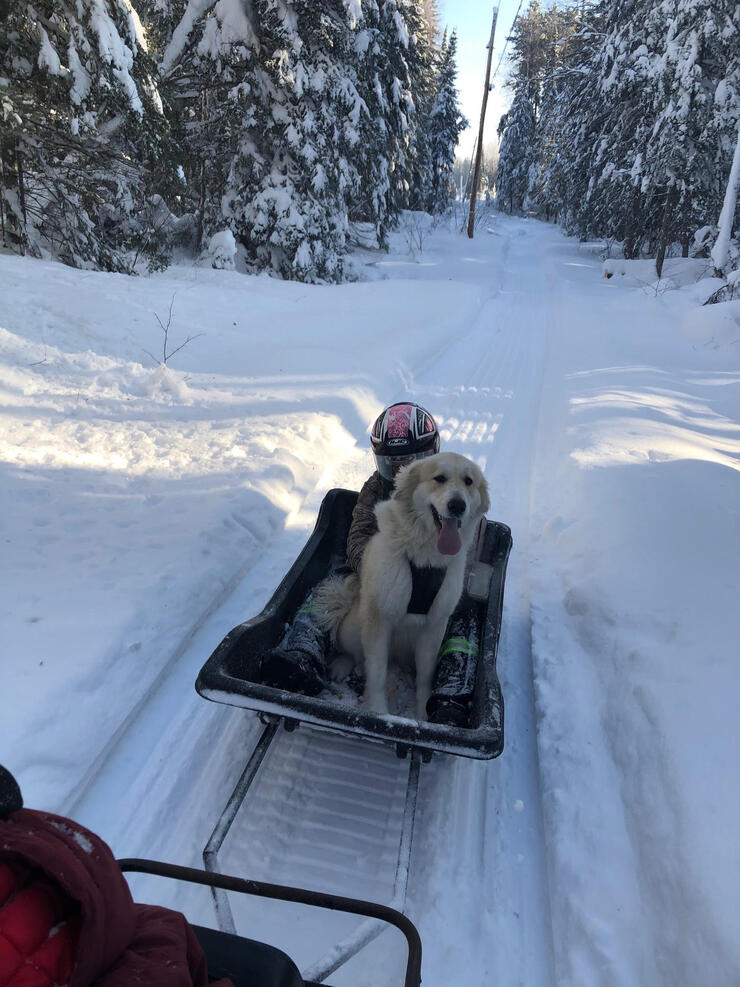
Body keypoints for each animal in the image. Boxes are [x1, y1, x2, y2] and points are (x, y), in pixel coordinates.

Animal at [316, 454, 488, 716]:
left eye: (469, 481)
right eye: (439, 478)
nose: (457, 505)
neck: (425, 559)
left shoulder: (434, 626)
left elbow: (426, 675)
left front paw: (422, 714)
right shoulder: (379, 619)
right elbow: (377, 672)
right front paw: (378, 710)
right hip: (355, 625)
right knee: (353, 652)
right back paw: (342, 664)